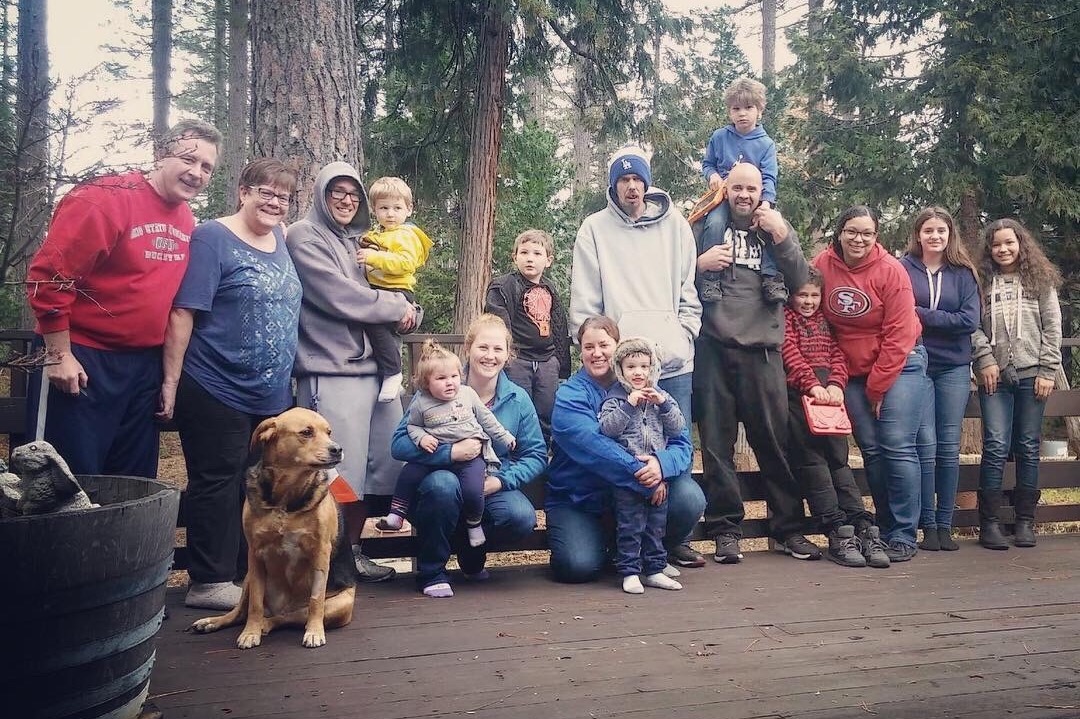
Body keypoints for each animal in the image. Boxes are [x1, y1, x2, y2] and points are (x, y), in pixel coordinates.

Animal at [190, 407, 356, 649]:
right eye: (306, 432)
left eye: (328, 432)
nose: (337, 449)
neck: (285, 500)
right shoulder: (255, 554)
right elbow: (255, 605)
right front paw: (250, 632)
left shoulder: (320, 553)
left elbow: (315, 600)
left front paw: (315, 632)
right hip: (249, 578)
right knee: (240, 613)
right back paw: (215, 622)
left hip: (339, 606)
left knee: (288, 617)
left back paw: (268, 624)